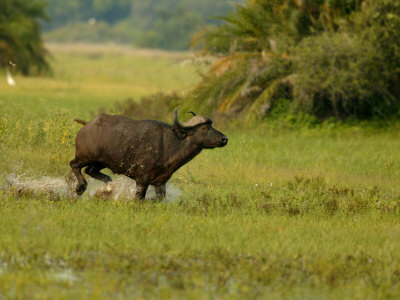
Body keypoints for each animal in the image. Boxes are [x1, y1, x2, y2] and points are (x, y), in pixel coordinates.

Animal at [69, 108, 228, 199]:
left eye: (211, 125)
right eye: (204, 128)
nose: (224, 139)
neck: (170, 144)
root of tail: (88, 125)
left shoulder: (160, 183)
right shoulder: (142, 179)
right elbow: (139, 198)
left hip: (101, 162)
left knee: (91, 171)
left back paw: (106, 189)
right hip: (85, 157)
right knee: (74, 165)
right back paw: (80, 188)